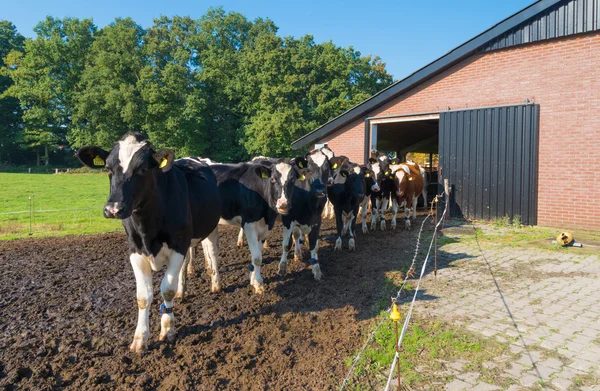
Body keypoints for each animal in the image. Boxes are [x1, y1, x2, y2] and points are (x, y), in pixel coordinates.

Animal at [75, 131, 220, 352]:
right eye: (108, 168)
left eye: (143, 169)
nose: (113, 209)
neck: (147, 226)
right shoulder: (135, 251)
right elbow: (143, 296)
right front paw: (140, 339)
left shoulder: (178, 245)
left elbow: (166, 290)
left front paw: (167, 330)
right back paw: (182, 291)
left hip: (209, 229)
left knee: (211, 254)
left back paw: (215, 284)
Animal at [278, 149, 344, 280]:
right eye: (308, 170)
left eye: (326, 169)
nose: (319, 191)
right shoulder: (288, 219)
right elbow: (286, 244)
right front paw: (282, 268)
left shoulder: (317, 220)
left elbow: (313, 244)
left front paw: (317, 271)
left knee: (297, 235)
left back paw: (298, 253)